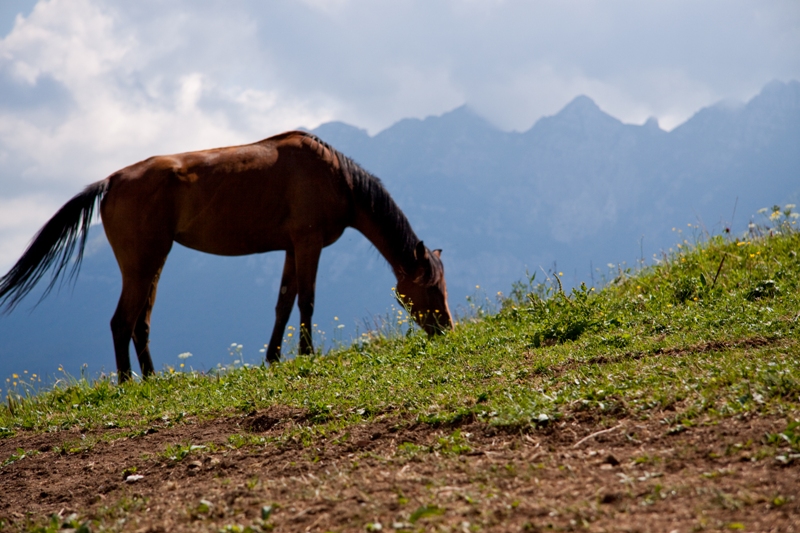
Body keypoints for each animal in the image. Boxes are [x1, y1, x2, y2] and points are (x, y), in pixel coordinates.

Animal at [0, 131, 453, 382]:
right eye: (431, 289)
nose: (447, 329)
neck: (336, 177)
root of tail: (110, 180)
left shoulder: (291, 248)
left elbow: (284, 303)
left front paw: (273, 357)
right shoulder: (307, 244)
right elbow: (306, 301)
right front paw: (305, 354)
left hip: (152, 265)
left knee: (140, 323)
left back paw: (151, 378)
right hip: (141, 265)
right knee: (121, 322)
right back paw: (128, 382)